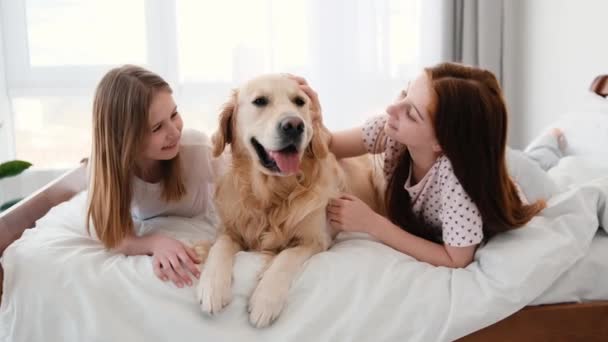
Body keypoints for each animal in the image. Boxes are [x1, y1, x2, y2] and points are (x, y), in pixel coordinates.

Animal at [197, 74, 382, 326]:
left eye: (299, 102)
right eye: (260, 101)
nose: (294, 125)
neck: (272, 194)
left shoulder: (315, 240)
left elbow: (286, 257)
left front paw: (265, 300)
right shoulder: (229, 229)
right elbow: (220, 246)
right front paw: (212, 286)